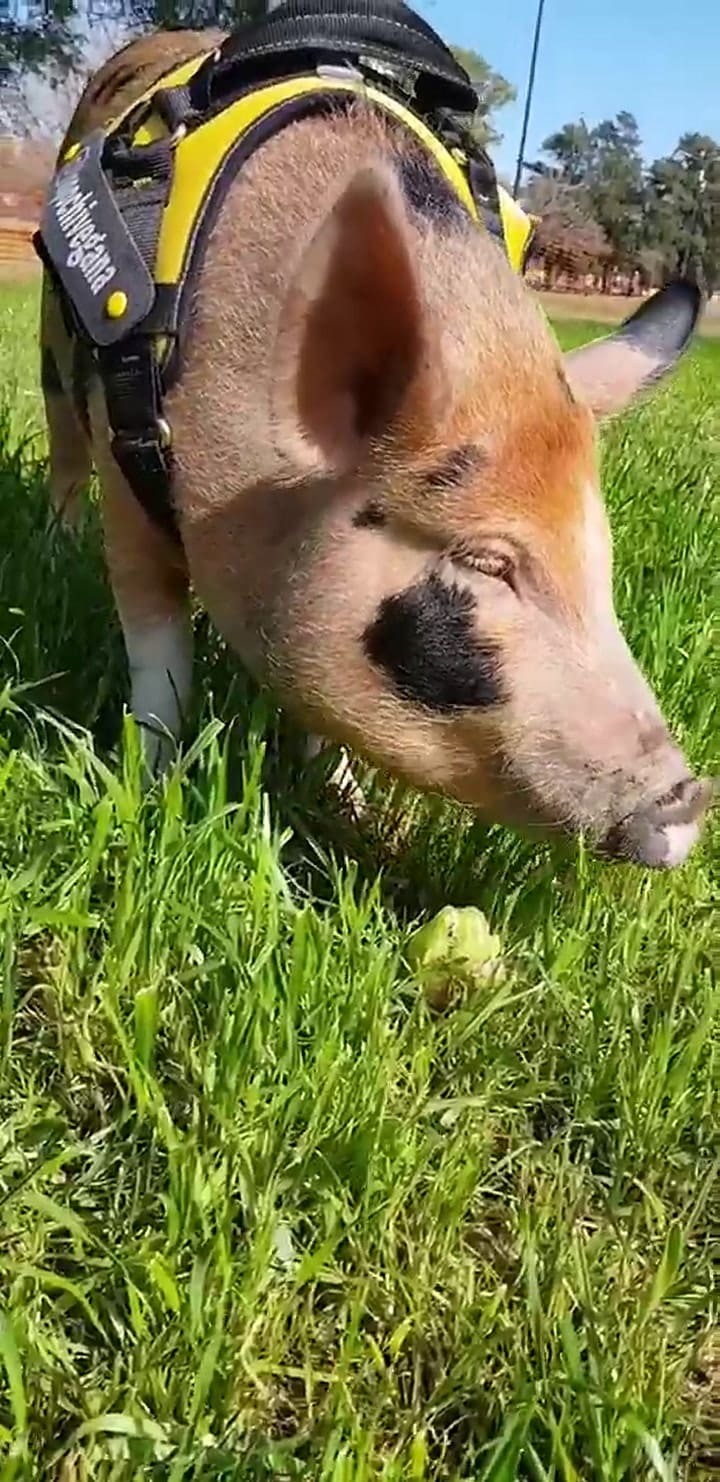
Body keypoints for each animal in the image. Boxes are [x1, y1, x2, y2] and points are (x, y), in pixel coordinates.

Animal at [40, 29, 712, 869]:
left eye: (602, 560)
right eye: (486, 561)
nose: (690, 803)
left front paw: (347, 808)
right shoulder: (130, 479)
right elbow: (158, 663)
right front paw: (152, 790)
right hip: (56, 347)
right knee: (63, 453)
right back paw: (58, 548)